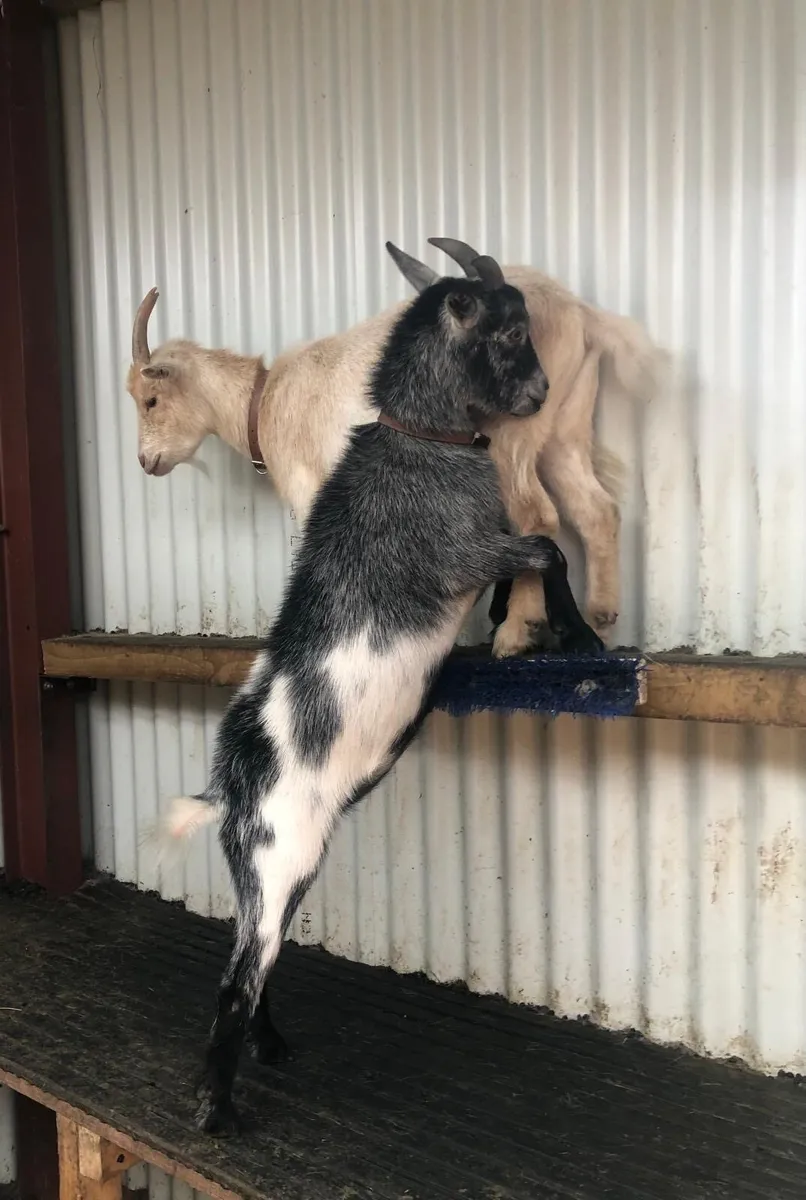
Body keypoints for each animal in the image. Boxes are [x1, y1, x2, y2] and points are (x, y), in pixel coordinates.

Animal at [128, 240, 662, 656]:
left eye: (150, 399)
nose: (146, 461)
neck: (264, 401)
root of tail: (581, 313)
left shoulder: (312, 487)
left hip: (513, 430)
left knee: (538, 514)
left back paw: (518, 631)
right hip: (564, 424)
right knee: (596, 509)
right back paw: (599, 620)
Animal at [158, 244, 603, 1135]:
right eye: (509, 329)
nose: (539, 396)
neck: (420, 442)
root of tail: (229, 785)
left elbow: (534, 555)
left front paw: (519, 624)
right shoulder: (461, 551)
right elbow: (544, 548)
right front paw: (579, 635)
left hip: (268, 866)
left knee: (254, 958)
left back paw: (272, 1047)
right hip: (284, 850)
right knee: (236, 980)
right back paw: (217, 1111)